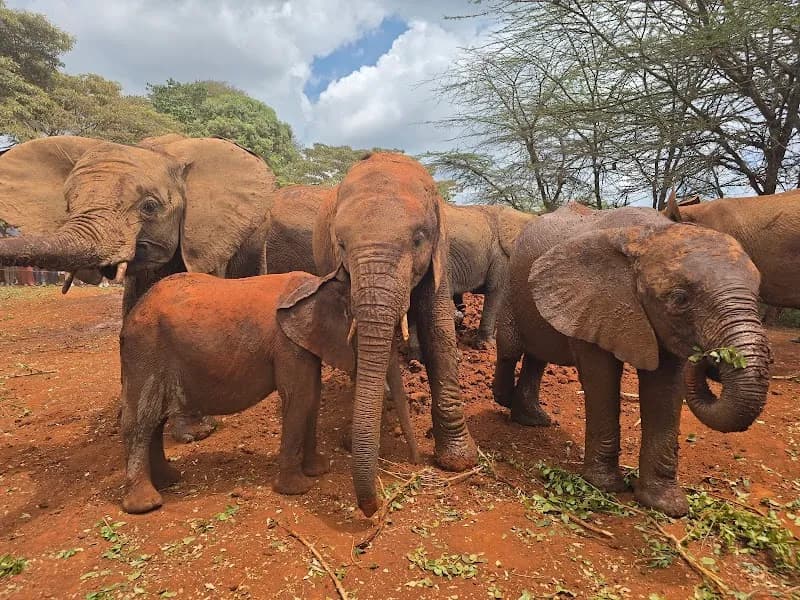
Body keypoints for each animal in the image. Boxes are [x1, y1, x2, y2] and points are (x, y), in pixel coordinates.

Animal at [0, 134, 276, 442]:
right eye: (68, 205)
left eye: (150, 207)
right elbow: (133, 313)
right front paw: (131, 414)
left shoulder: (205, 237)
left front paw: (194, 432)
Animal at [119, 270, 419, 514]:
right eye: (356, 327)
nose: (415, 462)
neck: (321, 283)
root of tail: (132, 313)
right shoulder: (287, 344)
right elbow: (299, 397)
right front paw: (297, 488)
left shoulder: (303, 344)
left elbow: (312, 396)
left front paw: (318, 470)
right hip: (145, 350)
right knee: (141, 421)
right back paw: (147, 504)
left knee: (154, 423)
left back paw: (170, 480)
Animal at [309, 152, 478, 516]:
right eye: (341, 244)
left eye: (418, 239)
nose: (374, 506)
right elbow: (359, 335)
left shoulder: (438, 255)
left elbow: (438, 328)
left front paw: (458, 461)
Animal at [493, 204, 771, 516]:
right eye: (680, 299)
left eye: (758, 292)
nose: (708, 358)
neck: (647, 235)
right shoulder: (594, 302)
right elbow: (602, 380)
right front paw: (604, 486)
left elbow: (665, 390)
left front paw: (666, 505)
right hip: (512, 284)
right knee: (511, 348)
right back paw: (506, 400)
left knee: (538, 357)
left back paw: (533, 420)